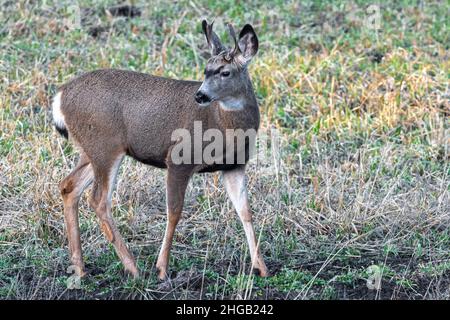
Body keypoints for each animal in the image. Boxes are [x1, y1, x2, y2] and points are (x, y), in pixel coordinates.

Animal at [53, 20, 270, 280]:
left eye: (225, 72)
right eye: (206, 70)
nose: (200, 95)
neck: (222, 125)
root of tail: (60, 97)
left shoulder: (234, 166)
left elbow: (245, 211)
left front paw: (261, 267)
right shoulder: (179, 159)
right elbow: (174, 212)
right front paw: (162, 268)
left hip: (91, 150)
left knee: (69, 186)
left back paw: (80, 267)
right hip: (106, 145)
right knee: (98, 200)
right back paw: (133, 267)